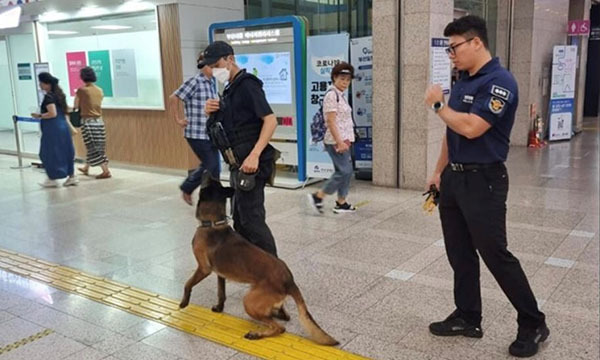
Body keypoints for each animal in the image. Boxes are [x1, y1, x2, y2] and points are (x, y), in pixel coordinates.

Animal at [177, 174, 338, 346]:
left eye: (209, 182)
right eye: (214, 181)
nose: (207, 170)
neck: (213, 223)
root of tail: (289, 280)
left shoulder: (204, 268)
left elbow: (188, 283)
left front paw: (184, 302)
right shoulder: (220, 273)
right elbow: (221, 293)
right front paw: (219, 307)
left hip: (249, 301)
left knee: (280, 328)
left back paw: (257, 334)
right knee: (283, 318)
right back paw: (278, 314)